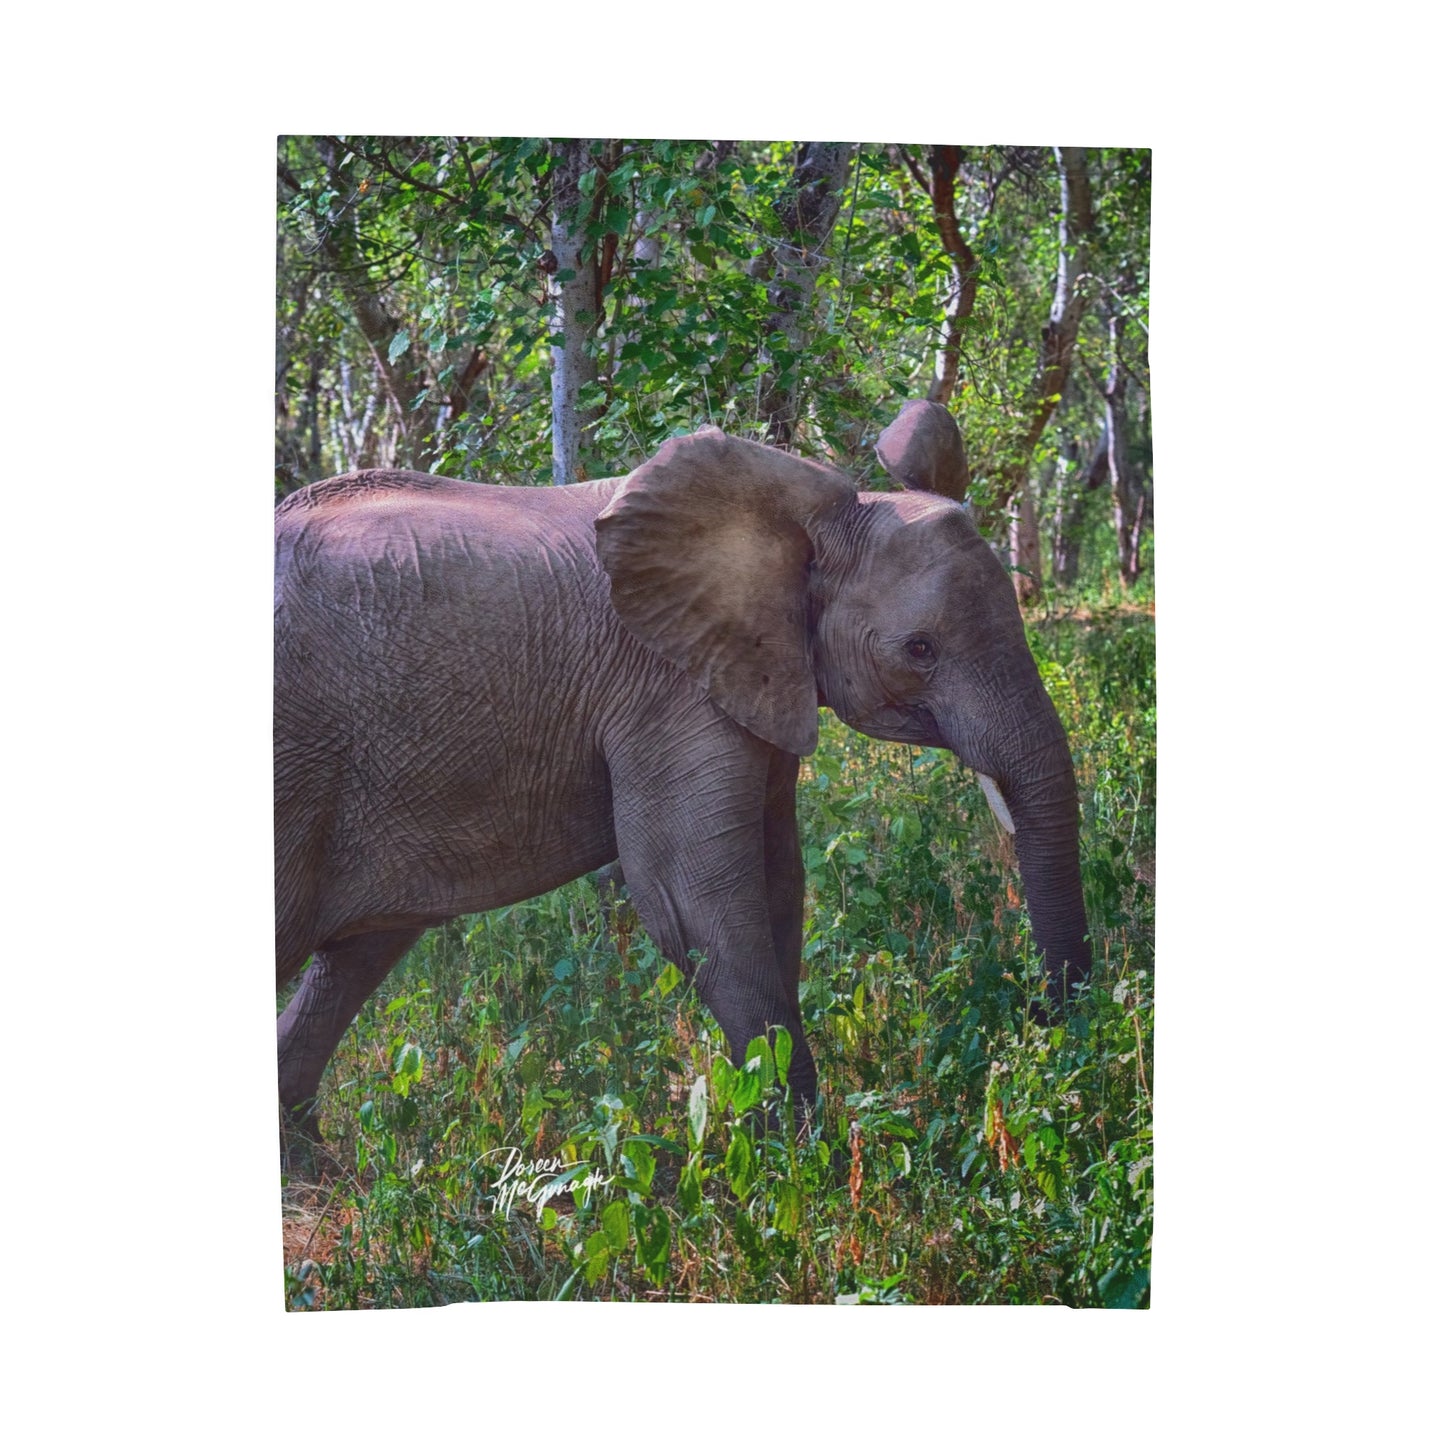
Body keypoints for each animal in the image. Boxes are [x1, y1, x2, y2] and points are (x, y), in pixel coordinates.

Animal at [274, 399, 1090, 1129]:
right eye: (919, 649)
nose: (1046, 1025)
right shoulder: (665, 687)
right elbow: (692, 896)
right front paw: (800, 1158)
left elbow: (776, 884)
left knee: (359, 951)